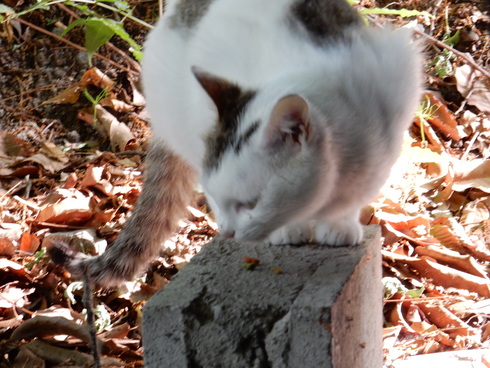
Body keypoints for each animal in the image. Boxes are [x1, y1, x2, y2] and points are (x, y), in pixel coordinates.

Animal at [51, 0, 424, 286]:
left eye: (252, 202)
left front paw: (339, 224)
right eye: (216, 197)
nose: (229, 233)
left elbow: (357, 195)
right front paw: (287, 230)